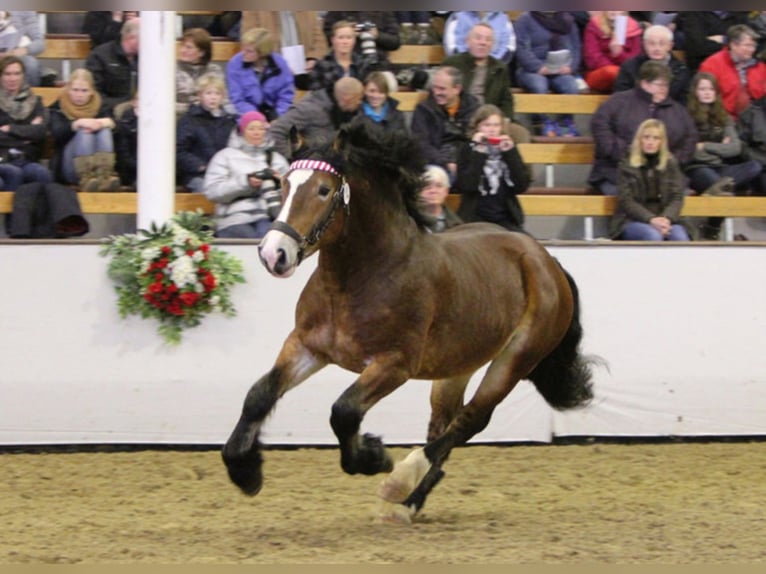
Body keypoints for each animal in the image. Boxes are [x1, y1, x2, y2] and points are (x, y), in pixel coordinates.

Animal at [219, 121, 596, 528]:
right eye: (285, 183)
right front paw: (244, 470)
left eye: (323, 190)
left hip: (516, 358)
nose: (274, 253)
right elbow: (259, 395)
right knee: (445, 424)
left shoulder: (394, 364)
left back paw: (400, 483)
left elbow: (344, 411)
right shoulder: (306, 346)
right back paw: (410, 502)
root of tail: (546, 259)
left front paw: (374, 456)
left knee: (469, 421)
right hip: (457, 366)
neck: (356, 280)